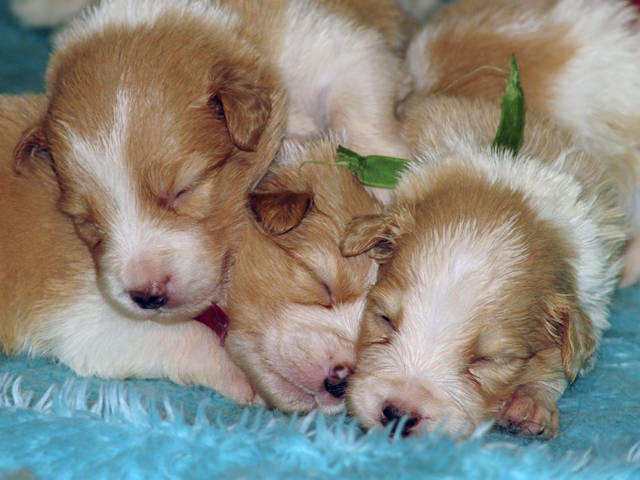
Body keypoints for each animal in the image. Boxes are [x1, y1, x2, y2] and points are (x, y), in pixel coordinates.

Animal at [1, 94, 257, 403]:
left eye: (185, 190)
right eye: (89, 221)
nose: (148, 296)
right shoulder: (84, 317)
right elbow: (192, 337)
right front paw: (244, 382)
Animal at [341, 93, 628, 438]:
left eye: (487, 360)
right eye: (384, 320)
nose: (398, 415)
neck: (507, 190)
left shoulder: (594, 291)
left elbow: (560, 363)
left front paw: (530, 401)